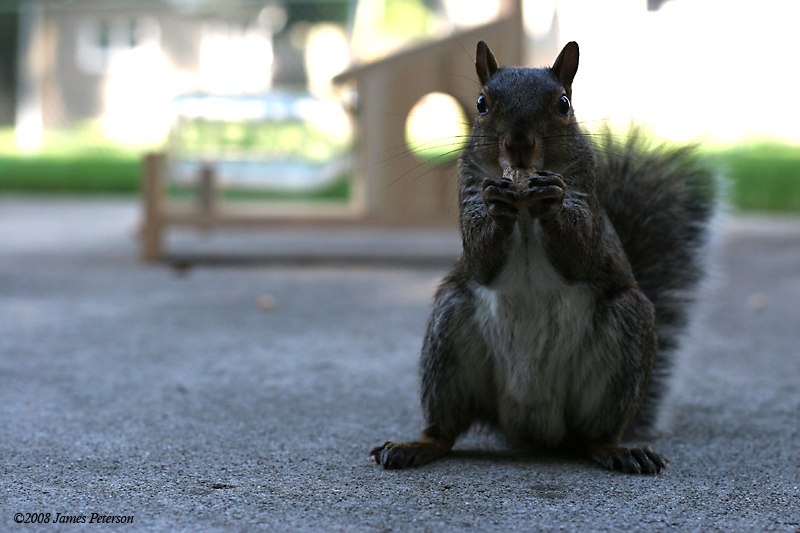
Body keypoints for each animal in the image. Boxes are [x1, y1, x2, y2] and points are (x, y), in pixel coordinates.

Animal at [366, 41, 716, 474]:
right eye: (481, 103)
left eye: (564, 103)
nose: (519, 143)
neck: (524, 206)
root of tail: (534, 425)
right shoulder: (469, 193)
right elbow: (480, 259)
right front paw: (497, 203)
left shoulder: (587, 200)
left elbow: (579, 252)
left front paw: (552, 199)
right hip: (448, 339)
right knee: (445, 430)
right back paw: (414, 445)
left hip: (624, 342)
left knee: (594, 435)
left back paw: (619, 450)